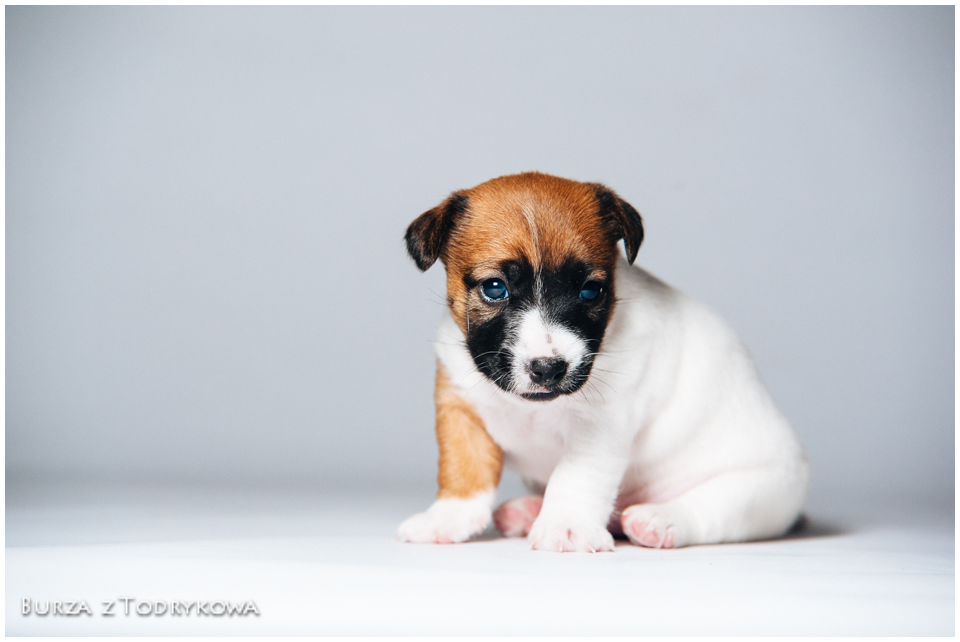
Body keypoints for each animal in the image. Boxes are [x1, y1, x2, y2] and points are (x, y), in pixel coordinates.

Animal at [397, 172, 809, 552]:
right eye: (495, 287)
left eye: (591, 291)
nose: (548, 368)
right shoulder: (459, 410)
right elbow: (463, 470)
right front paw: (446, 518)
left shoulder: (599, 425)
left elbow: (576, 476)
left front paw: (565, 526)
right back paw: (528, 511)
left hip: (753, 491)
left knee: (708, 512)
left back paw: (659, 520)